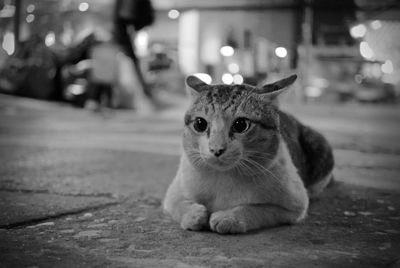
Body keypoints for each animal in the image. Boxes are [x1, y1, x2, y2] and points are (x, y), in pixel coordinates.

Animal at [162, 74, 334, 233]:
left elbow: (257, 209)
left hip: (318, 145)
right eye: (200, 123)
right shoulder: (173, 193)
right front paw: (194, 215)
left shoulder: (295, 206)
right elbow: (178, 203)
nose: (216, 149)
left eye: (241, 125)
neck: (223, 177)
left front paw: (228, 217)